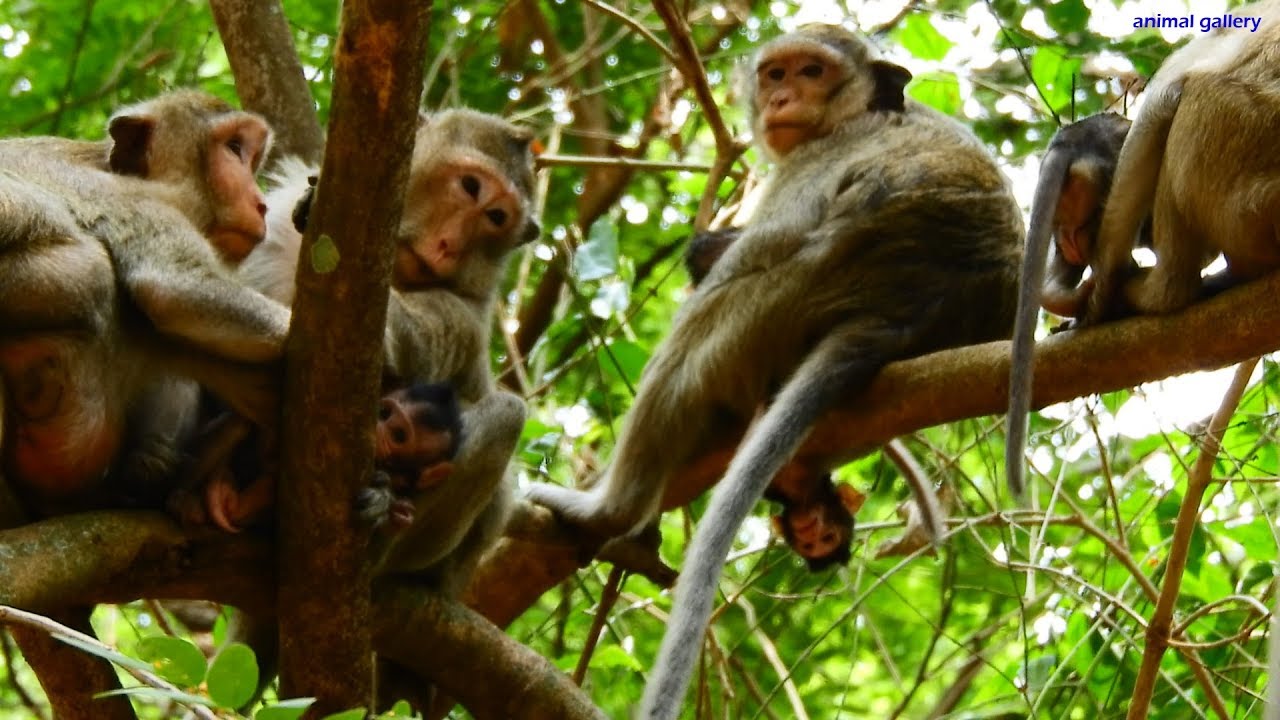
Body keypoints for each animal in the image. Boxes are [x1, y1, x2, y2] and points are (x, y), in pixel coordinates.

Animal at [0, 90, 287, 517]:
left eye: (252, 158)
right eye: (234, 148)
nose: (260, 203)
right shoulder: (132, 198)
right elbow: (174, 286)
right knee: (92, 272)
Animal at [525, 26, 1022, 718]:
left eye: (813, 72)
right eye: (775, 73)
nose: (783, 97)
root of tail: (902, 314)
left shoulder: (812, 164)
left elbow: (757, 244)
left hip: (775, 304)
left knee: (702, 326)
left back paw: (610, 510)